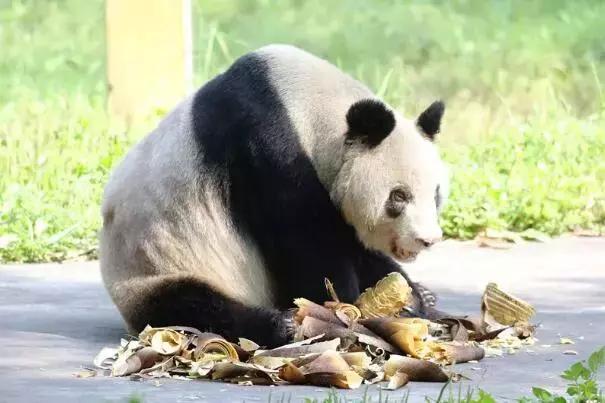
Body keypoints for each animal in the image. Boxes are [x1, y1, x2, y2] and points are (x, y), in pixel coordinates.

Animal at [99, 43, 448, 348]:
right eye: (398, 197)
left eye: (436, 194)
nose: (427, 240)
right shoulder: (268, 150)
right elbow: (309, 245)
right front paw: (345, 305)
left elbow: (351, 242)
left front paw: (413, 296)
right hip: (155, 265)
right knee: (191, 304)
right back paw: (282, 325)